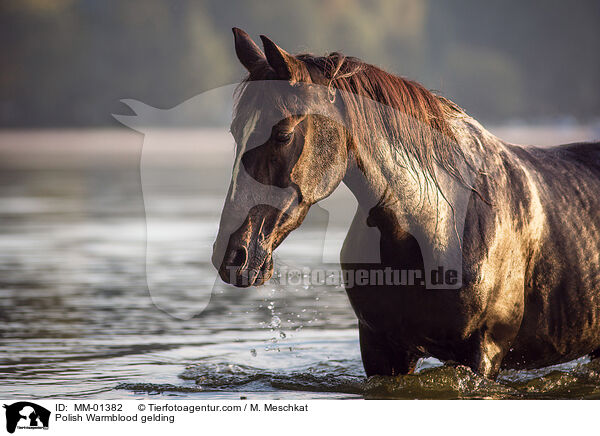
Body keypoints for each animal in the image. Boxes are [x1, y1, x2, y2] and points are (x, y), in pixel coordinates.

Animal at [213, 29, 600, 380]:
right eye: (235, 132)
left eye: (283, 134)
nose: (233, 256)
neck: (434, 225)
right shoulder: (380, 349)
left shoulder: (483, 353)